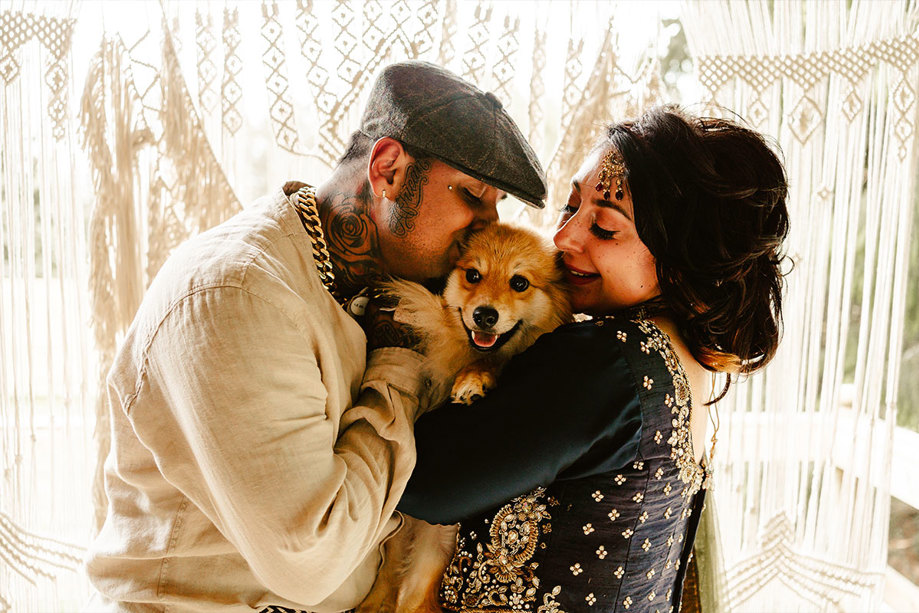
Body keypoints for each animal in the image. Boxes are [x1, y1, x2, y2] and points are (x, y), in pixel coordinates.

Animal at [356, 222, 572, 612]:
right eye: (473, 275)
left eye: (520, 282)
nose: (485, 315)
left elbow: (494, 363)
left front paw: (475, 379)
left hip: (427, 566)